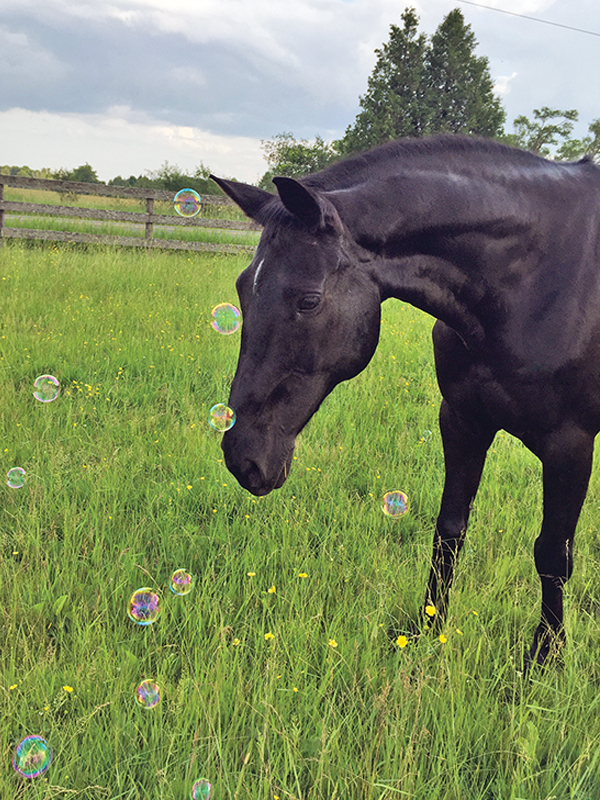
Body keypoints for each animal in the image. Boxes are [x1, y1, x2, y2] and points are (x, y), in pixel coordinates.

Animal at [210, 134, 600, 667]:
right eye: (240, 290)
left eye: (309, 300)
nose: (242, 458)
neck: (537, 279)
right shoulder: (462, 422)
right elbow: (449, 531)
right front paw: (427, 629)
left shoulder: (569, 446)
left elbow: (552, 555)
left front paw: (546, 658)